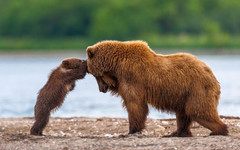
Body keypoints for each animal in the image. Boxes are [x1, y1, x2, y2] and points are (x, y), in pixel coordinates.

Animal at [86, 40, 227, 137]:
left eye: (94, 74)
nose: (101, 89)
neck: (116, 65)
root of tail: (212, 75)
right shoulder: (122, 79)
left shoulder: (132, 77)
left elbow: (135, 104)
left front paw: (132, 130)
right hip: (185, 94)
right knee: (183, 114)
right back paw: (177, 132)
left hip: (197, 88)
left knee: (198, 110)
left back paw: (218, 130)